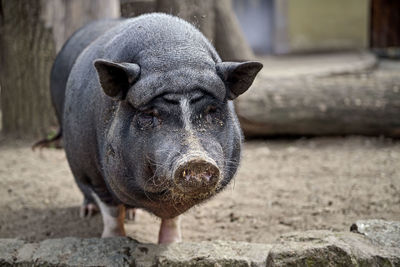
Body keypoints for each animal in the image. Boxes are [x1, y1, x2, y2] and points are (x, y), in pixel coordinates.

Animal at [50, 14, 262, 245]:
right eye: (149, 114)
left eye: (212, 110)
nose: (196, 160)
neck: (175, 56)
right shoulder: (91, 172)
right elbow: (111, 211)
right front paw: (113, 240)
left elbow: (173, 218)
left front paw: (173, 243)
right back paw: (88, 212)